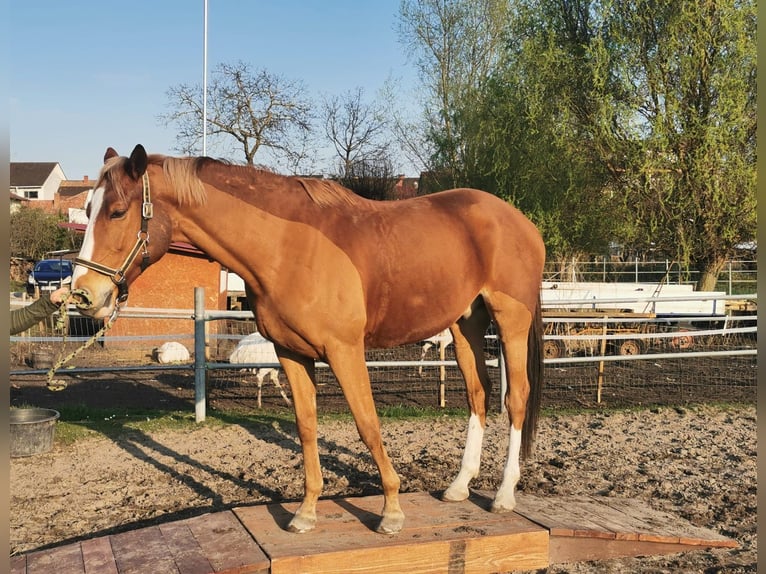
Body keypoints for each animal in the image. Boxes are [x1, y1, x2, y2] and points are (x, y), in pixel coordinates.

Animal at [71, 144, 545, 535]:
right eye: (88, 209)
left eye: (117, 212)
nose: (83, 295)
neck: (286, 247)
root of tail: (521, 223)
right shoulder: (291, 353)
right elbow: (306, 426)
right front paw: (306, 512)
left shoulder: (344, 350)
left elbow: (367, 424)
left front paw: (391, 510)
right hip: (466, 325)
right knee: (478, 394)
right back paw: (459, 486)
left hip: (510, 322)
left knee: (516, 398)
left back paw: (504, 495)